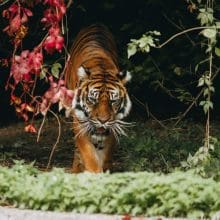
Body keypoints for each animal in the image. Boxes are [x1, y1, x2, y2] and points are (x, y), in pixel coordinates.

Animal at [64, 23, 131, 172]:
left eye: (113, 101)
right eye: (92, 100)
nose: (103, 120)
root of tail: (95, 23)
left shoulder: (113, 126)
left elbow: (106, 155)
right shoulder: (80, 123)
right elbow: (89, 154)